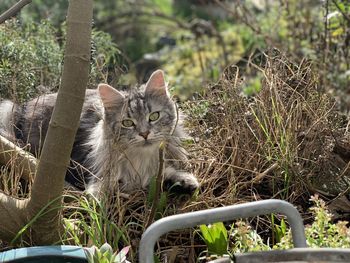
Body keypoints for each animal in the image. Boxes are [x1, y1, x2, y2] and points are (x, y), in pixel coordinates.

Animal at [0, 69, 200, 197]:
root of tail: (21, 108)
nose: (144, 134)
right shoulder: (102, 172)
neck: (140, 159)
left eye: (154, 116)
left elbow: (168, 173)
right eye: (127, 123)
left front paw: (186, 183)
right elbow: (100, 189)